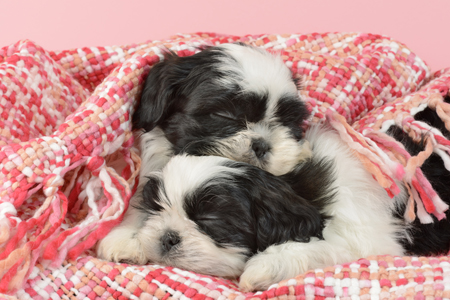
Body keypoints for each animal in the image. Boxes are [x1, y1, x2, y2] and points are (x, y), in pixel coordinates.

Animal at [97, 119, 450, 290]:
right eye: (157, 209)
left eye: (210, 222)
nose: (168, 237)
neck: (295, 187)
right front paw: (126, 239)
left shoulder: (368, 236)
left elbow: (325, 247)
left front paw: (266, 266)